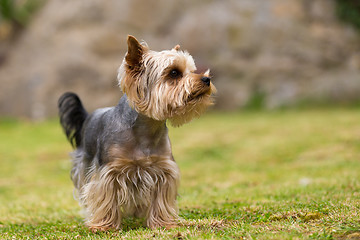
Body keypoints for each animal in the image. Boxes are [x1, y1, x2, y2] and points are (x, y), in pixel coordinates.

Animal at [58, 35, 215, 231]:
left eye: (192, 70)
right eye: (174, 73)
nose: (206, 79)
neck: (146, 130)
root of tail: (88, 116)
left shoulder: (163, 169)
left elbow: (161, 199)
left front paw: (162, 223)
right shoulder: (108, 172)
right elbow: (105, 197)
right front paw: (105, 225)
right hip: (84, 165)